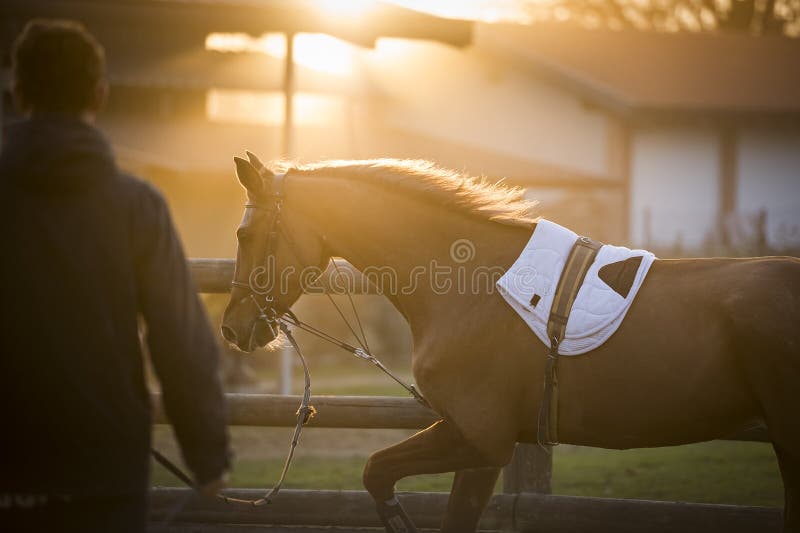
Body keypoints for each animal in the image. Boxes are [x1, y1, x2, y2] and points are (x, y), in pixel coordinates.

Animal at [219, 151, 800, 532]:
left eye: (246, 235)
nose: (232, 327)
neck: (471, 285)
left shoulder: (481, 441)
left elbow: (379, 473)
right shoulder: (477, 443)